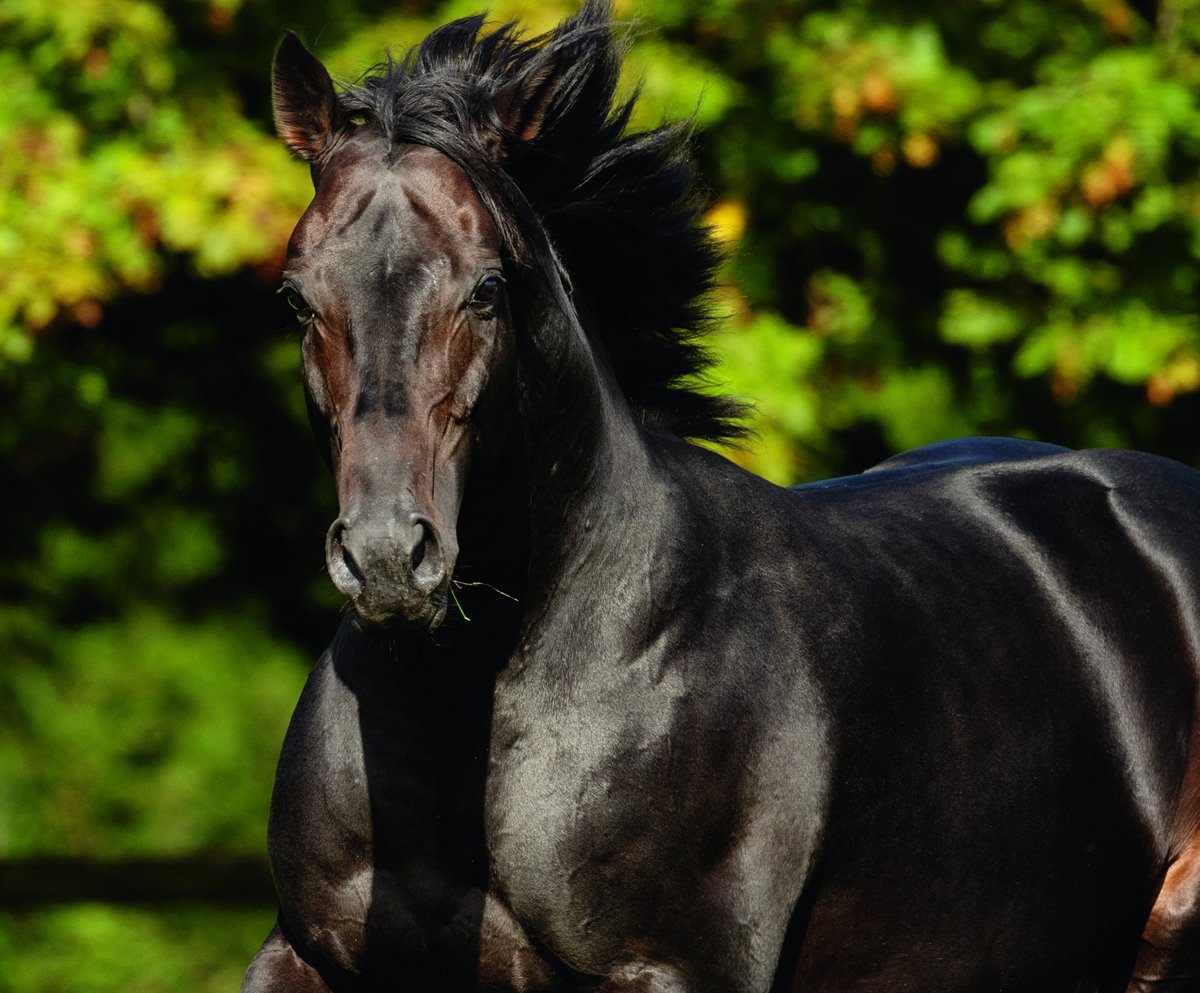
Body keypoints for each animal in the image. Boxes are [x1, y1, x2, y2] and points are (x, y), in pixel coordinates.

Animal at [246, 3, 1200, 991]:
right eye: (296, 297)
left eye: (487, 287)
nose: (390, 559)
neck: (470, 707)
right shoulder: (305, 953)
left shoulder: (672, 966)